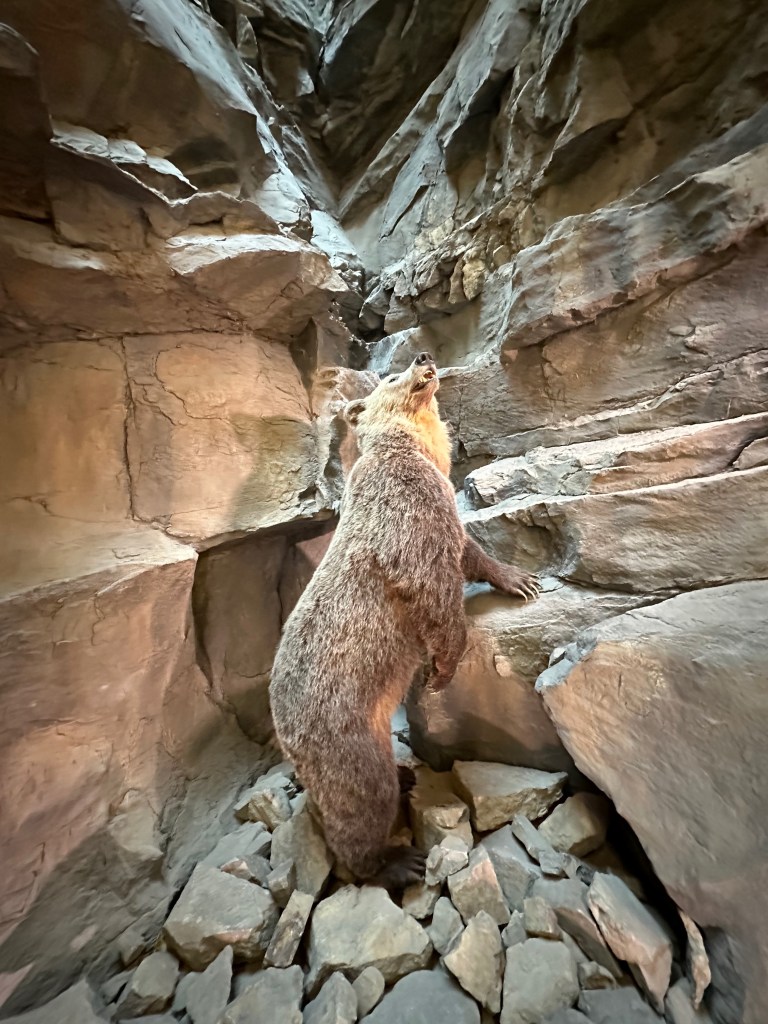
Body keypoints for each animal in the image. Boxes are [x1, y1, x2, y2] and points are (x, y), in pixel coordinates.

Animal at [268, 351, 540, 888]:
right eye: (390, 376)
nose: (423, 356)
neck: (420, 451)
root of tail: (281, 733)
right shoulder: (405, 507)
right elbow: (431, 581)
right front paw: (441, 669)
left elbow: (468, 550)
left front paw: (520, 578)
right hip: (341, 729)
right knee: (360, 799)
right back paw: (394, 860)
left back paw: (406, 774)